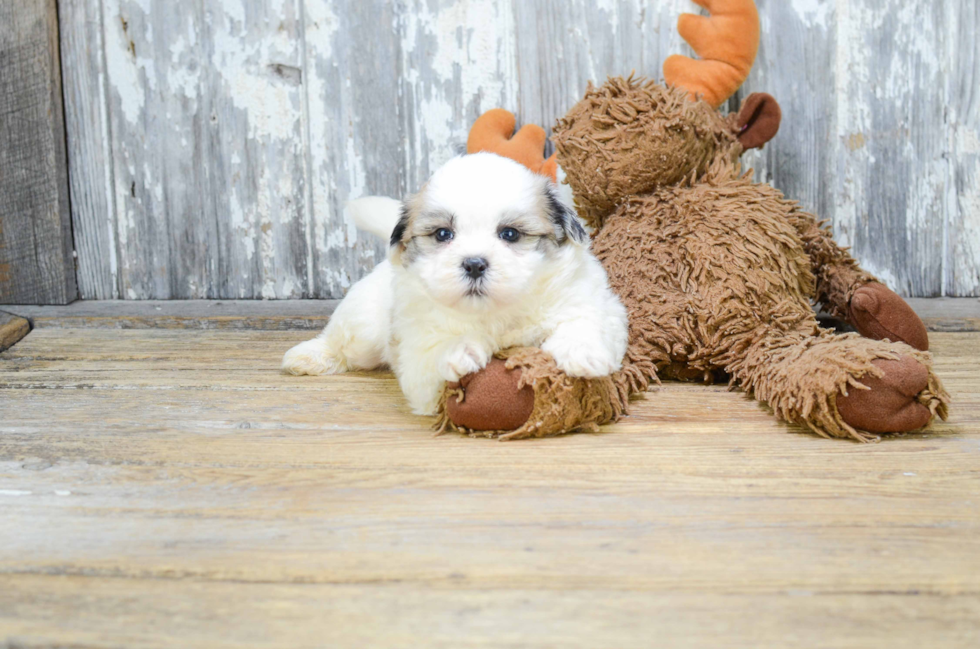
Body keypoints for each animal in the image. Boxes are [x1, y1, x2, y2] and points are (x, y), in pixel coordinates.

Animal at [282, 152, 628, 416]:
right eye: (443, 234)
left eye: (510, 234)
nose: (474, 263)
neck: (494, 311)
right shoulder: (416, 355)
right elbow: (434, 355)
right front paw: (458, 350)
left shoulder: (591, 300)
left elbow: (585, 319)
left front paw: (581, 351)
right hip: (364, 325)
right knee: (344, 342)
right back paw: (310, 356)